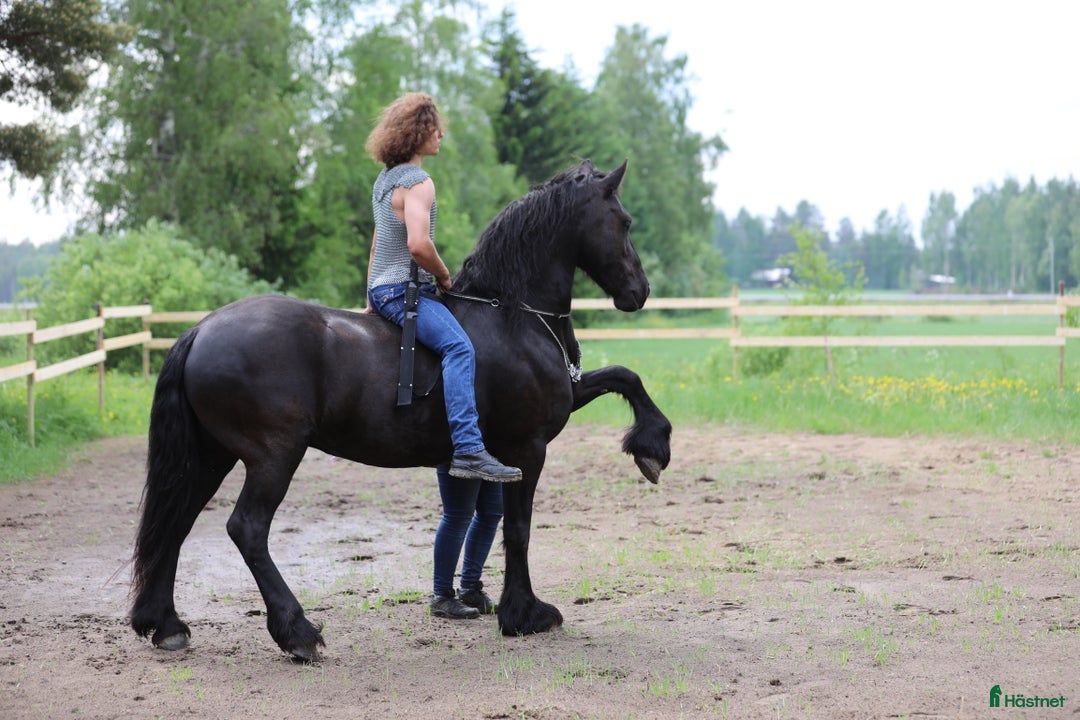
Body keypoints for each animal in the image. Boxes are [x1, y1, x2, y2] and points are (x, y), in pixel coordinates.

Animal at [130, 159, 672, 661]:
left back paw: (167, 625)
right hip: (272, 457)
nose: (640, 291)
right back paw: (297, 632)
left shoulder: (561, 406)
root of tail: (201, 329)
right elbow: (519, 530)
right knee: (247, 529)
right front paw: (525, 614)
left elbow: (624, 375)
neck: (513, 315)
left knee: (175, 523)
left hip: (210, 456)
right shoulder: (528, 448)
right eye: (624, 221)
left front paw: (652, 445)